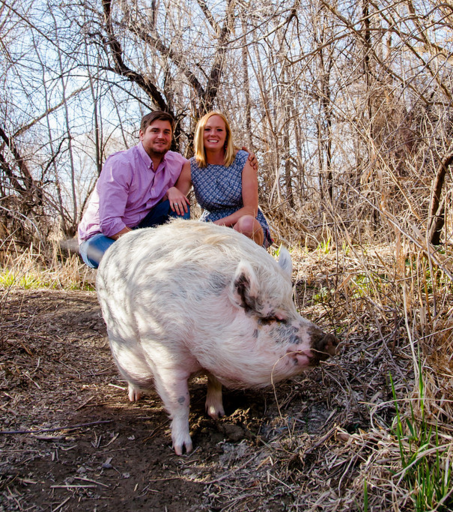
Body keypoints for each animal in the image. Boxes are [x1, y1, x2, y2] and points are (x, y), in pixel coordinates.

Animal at [97, 219, 338, 452]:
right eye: (272, 317)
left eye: (293, 308)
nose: (331, 339)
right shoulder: (165, 357)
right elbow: (180, 402)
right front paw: (183, 449)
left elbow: (214, 381)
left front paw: (217, 414)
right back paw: (134, 396)